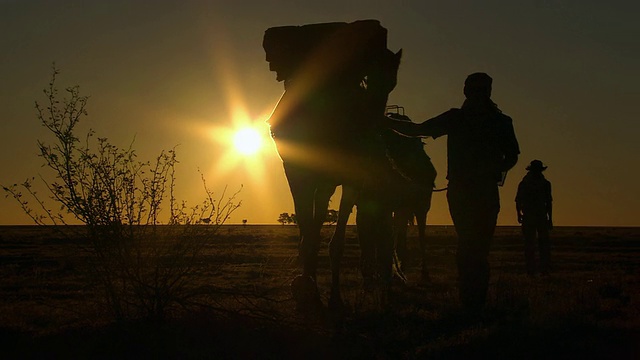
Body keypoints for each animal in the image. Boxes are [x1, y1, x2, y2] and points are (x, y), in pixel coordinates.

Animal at [262, 19, 402, 314]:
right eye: (367, 77)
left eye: (393, 83)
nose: (371, 125)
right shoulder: (301, 173)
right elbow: (309, 234)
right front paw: (306, 289)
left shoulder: (350, 180)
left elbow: (335, 242)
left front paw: (335, 297)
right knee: (310, 228)